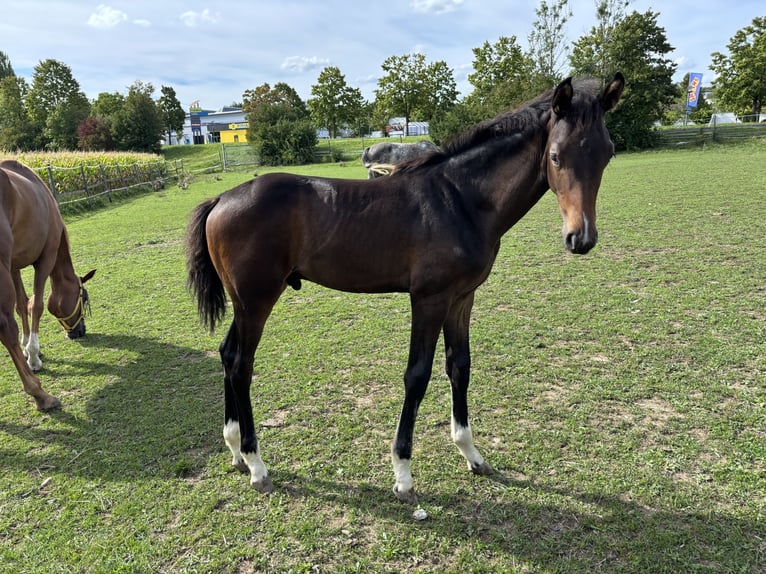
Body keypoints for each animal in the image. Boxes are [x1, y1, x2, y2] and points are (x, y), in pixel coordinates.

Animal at [0, 160, 95, 411]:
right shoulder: (46, 259)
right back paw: (39, 393)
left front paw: (27, 347)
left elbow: (22, 305)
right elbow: (36, 305)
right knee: (6, 327)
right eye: (83, 297)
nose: (80, 331)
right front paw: (32, 356)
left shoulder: (14, 264)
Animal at [186, 73, 624, 503]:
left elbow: (459, 366)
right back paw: (257, 465)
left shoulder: (462, 298)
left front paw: (472, 454)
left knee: (227, 353)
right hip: (256, 300)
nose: (581, 238)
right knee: (241, 364)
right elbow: (417, 375)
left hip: (245, 301)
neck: (461, 200)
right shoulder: (429, 300)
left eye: (608, 154)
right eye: (556, 156)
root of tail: (221, 198)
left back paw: (235, 451)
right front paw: (403, 475)